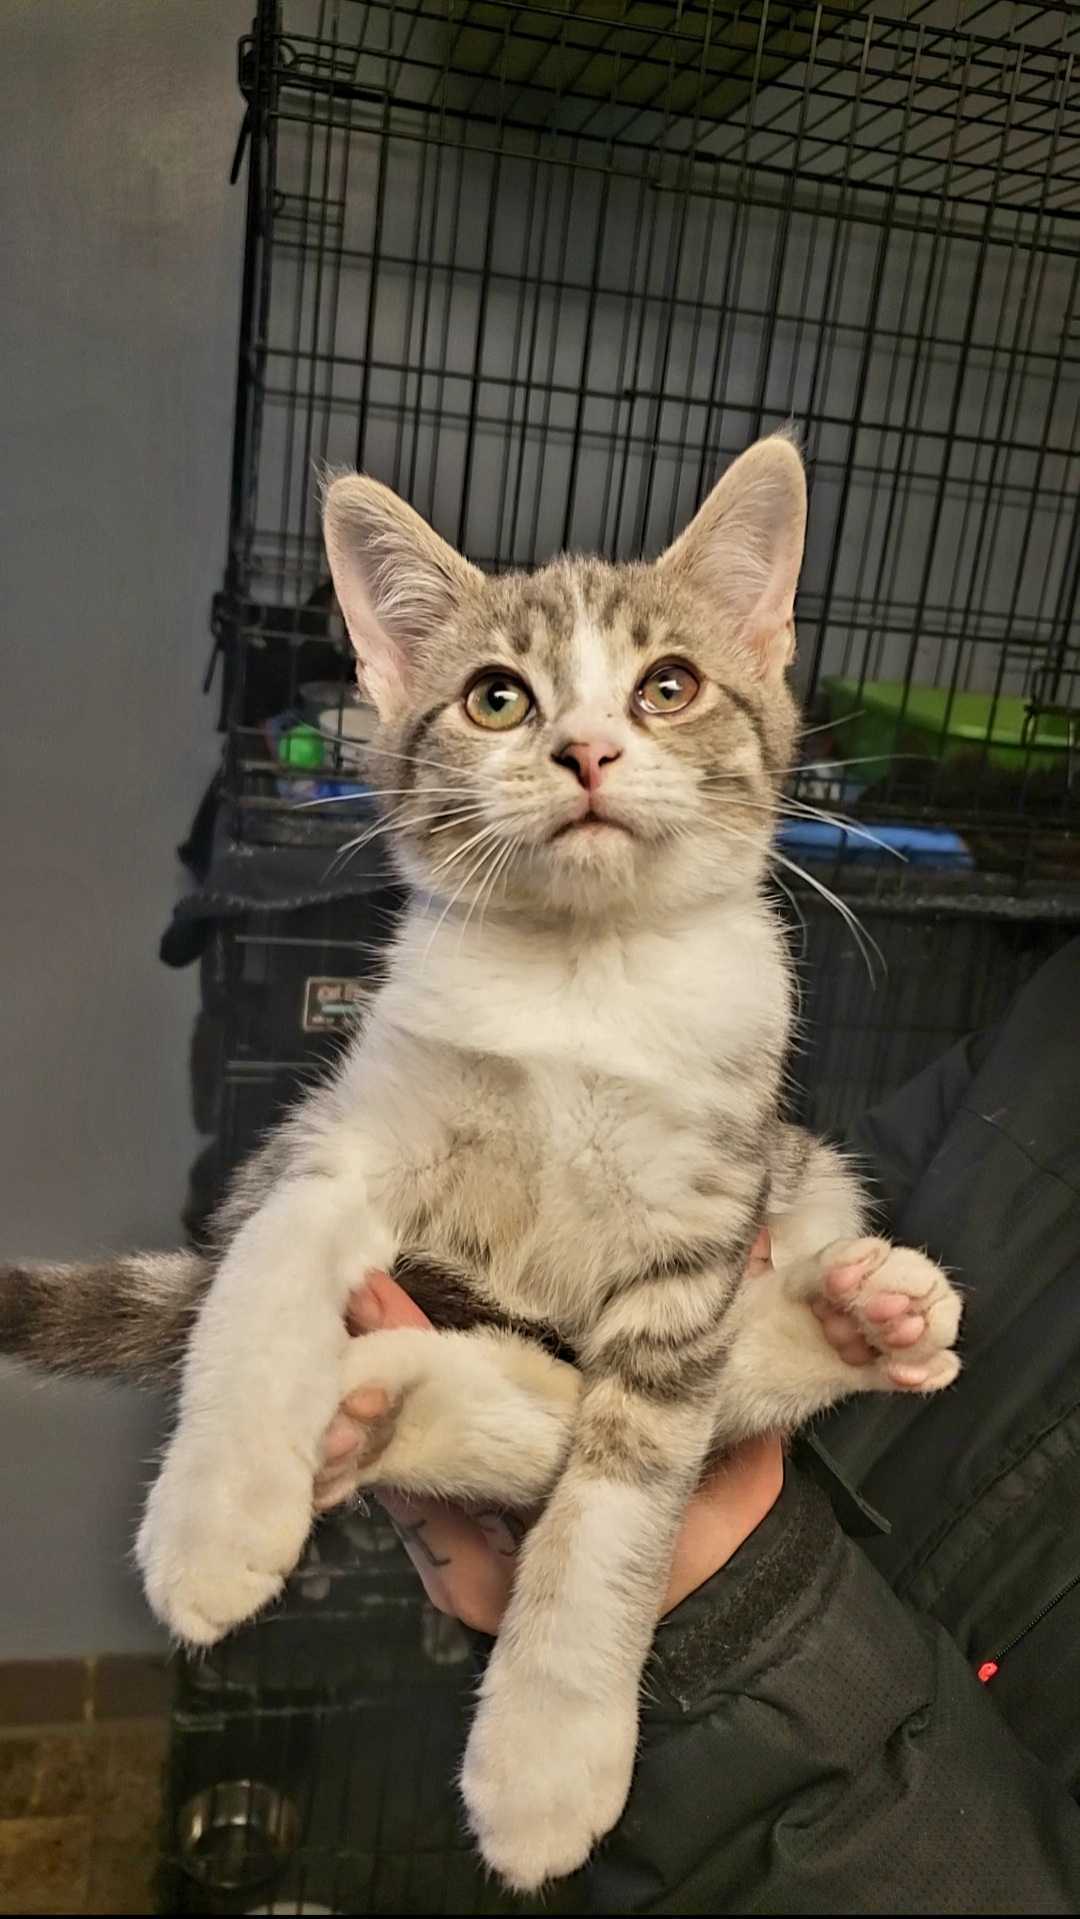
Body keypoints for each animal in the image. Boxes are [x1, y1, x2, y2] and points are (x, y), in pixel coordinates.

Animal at [2, 439, 962, 1888]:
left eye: (669, 684)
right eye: (497, 696)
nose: (587, 747)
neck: (580, 977)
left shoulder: (702, 1218)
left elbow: (626, 1487)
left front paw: (549, 1754)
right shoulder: (329, 1143)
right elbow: (257, 1288)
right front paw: (213, 1517)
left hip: (802, 1172)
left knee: (693, 1394)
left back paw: (860, 1316)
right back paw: (381, 1405)